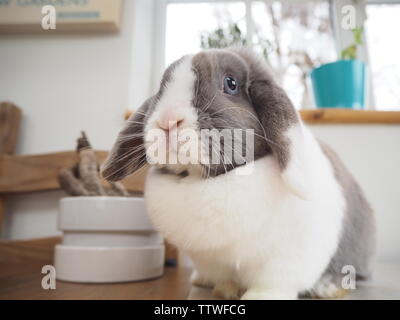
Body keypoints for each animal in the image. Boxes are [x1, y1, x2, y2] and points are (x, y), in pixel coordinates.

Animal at [101, 48, 376, 300]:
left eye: (230, 83)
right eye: (162, 87)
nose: (167, 120)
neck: (205, 180)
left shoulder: (287, 256)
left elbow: (273, 282)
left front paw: (257, 297)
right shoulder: (209, 258)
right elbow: (224, 278)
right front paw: (226, 291)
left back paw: (326, 288)